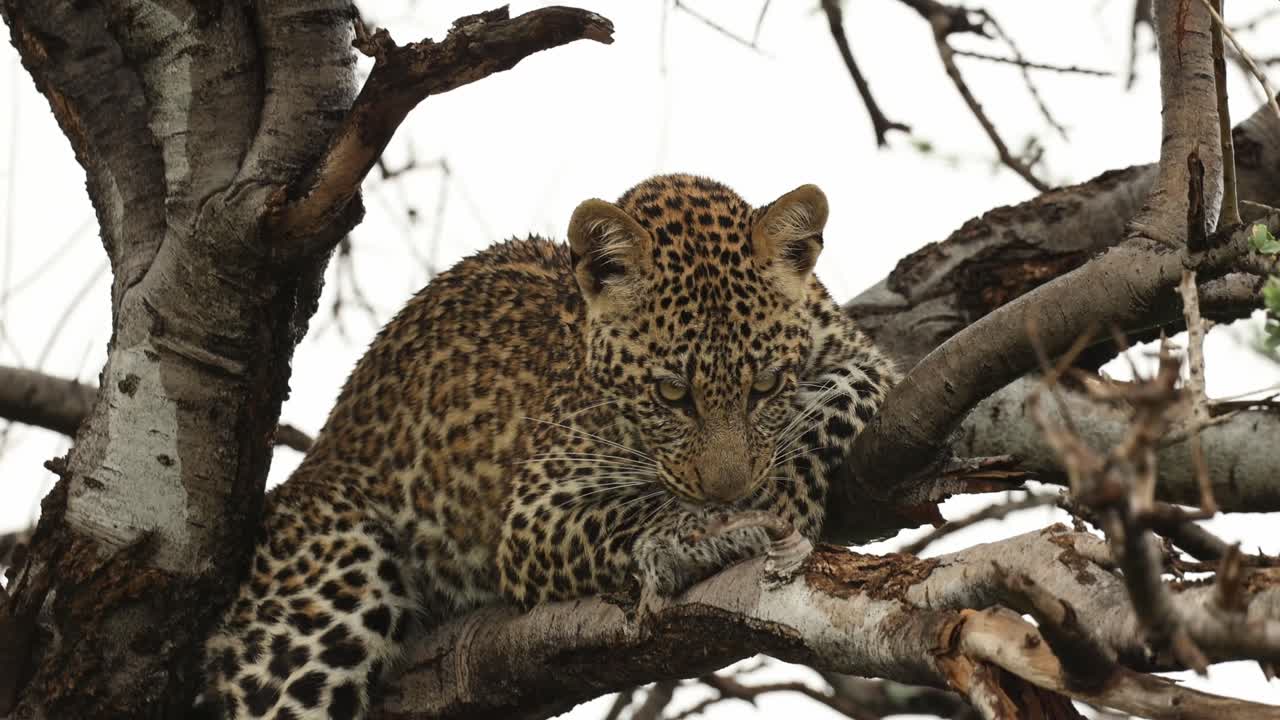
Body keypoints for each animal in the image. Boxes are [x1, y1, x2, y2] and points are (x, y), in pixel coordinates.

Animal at [200, 174, 898, 719]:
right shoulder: (535, 510)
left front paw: (783, 492)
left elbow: (833, 399)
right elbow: (639, 509)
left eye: (766, 385)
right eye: (671, 394)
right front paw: (715, 530)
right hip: (328, 583)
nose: (731, 490)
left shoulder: (870, 362)